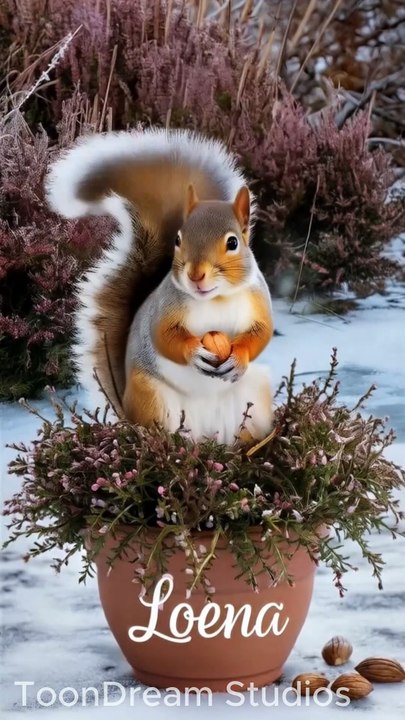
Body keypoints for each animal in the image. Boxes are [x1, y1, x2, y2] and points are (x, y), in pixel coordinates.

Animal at [47, 129, 274, 445]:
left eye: (233, 243)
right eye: (178, 239)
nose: (196, 275)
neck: (215, 299)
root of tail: (206, 436)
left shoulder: (258, 299)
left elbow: (262, 332)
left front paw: (239, 356)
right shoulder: (165, 305)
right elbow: (164, 335)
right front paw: (194, 352)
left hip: (255, 395)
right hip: (151, 397)